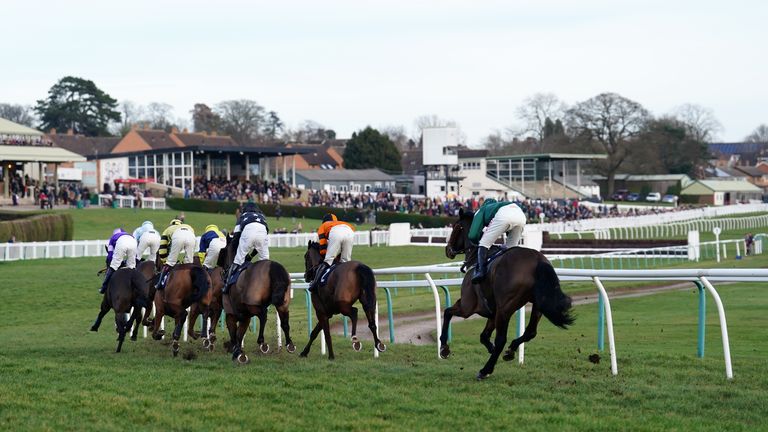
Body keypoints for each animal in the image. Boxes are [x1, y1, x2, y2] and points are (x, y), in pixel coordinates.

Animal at [224, 233, 296, 364]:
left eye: (224, 251)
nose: (225, 269)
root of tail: (273, 266)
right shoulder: (245, 315)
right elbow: (239, 333)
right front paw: (239, 353)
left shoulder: (232, 312)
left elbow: (235, 333)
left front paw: (237, 352)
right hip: (283, 303)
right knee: (284, 321)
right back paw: (290, 344)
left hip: (252, 304)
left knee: (263, 316)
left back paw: (262, 342)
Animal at [440, 209, 572, 382]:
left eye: (456, 227)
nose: (448, 250)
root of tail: (538, 260)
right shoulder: (492, 312)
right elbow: (483, 336)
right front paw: (491, 348)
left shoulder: (467, 307)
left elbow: (447, 312)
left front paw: (444, 348)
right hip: (537, 304)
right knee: (530, 332)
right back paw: (510, 351)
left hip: (505, 308)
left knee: (502, 339)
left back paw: (485, 370)